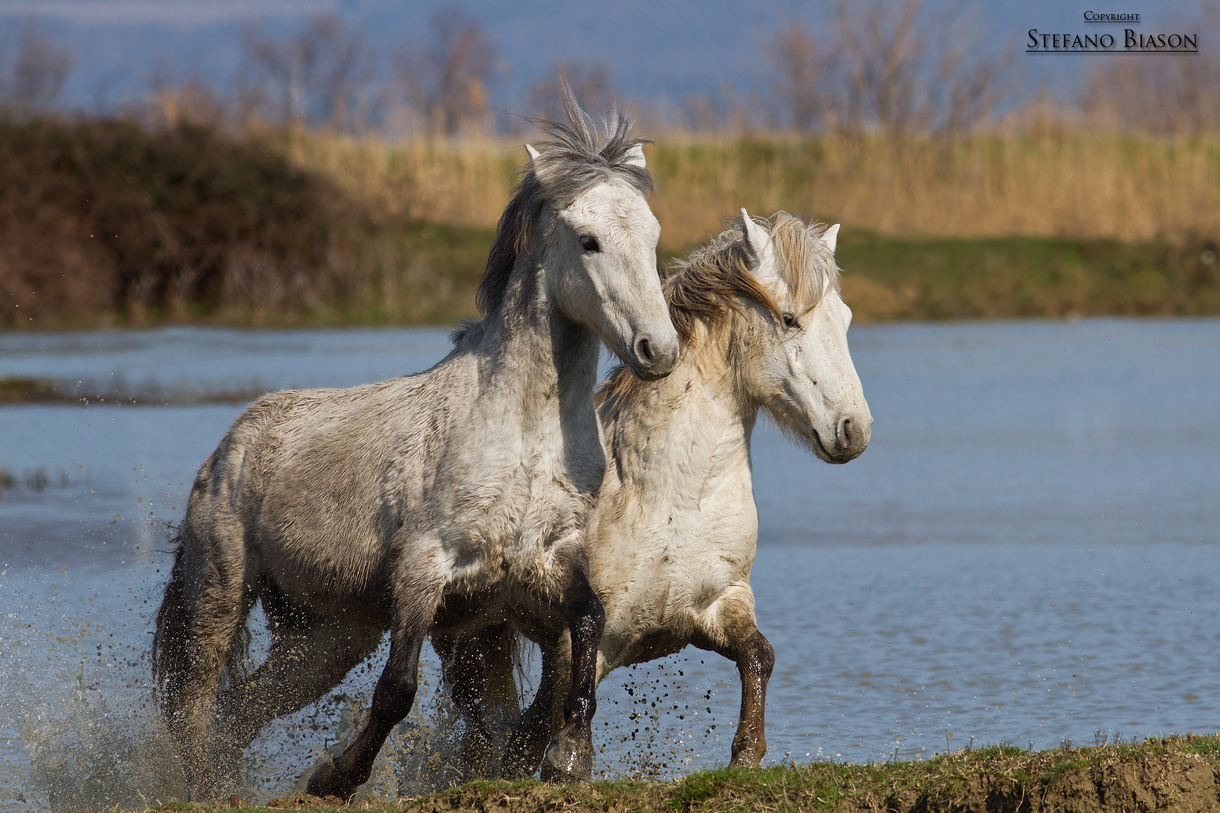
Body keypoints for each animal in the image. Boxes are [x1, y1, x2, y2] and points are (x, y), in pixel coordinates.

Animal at [151, 92, 680, 802]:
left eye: (651, 236)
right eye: (589, 242)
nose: (658, 350)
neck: (523, 436)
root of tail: (226, 449)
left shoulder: (552, 560)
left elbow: (589, 627)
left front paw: (569, 756)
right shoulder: (424, 571)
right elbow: (396, 690)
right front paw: (337, 777)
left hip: (328, 636)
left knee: (243, 709)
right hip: (221, 594)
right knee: (197, 704)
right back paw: (201, 789)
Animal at [437, 209, 871, 778]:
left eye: (844, 319)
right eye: (790, 319)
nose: (853, 430)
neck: (672, 498)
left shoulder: (717, 604)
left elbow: (760, 656)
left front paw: (746, 754)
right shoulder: (580, 640)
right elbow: (539, 731)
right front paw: (567, 761)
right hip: (465, 637)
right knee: (482, 727)